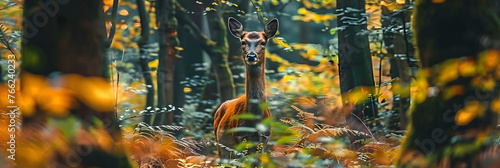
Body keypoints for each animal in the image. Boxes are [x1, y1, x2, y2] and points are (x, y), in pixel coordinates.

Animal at [213, 17, 280, 159]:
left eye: (263, 42)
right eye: (243, 42)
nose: (251, 56)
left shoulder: (265, 138)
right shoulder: (239, 137)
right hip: (219, 144)